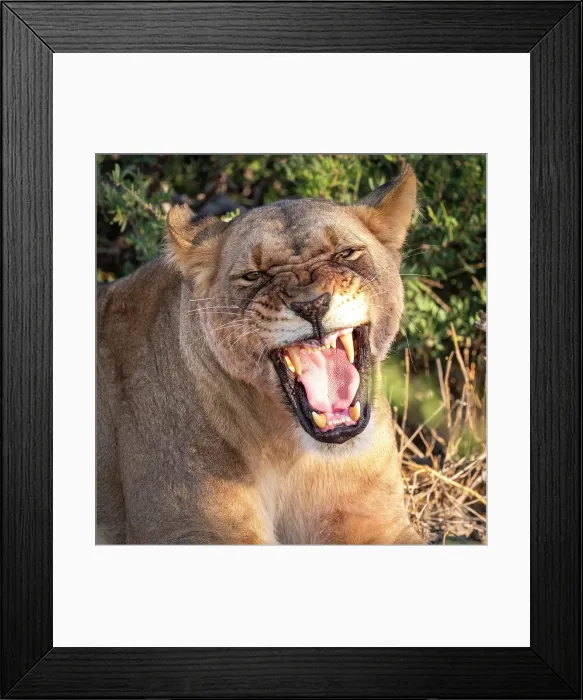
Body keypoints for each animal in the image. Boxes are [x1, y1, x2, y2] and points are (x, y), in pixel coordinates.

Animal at [96, 164, 425, 544]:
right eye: (253, 275)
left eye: (345, 254)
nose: (311, 305)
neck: (298, 456)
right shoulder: (193, 527)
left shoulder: (378, 519)